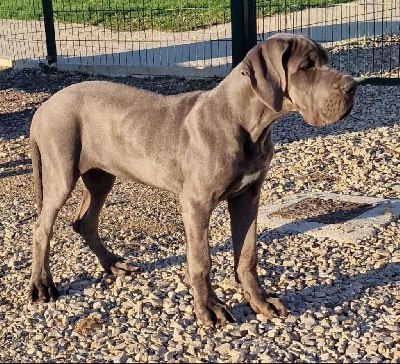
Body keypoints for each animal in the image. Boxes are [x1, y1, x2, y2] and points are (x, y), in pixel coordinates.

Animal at [30, 33, 356, 324]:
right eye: (306, 67)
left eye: (326, 61)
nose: (353, 86)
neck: (246, 124)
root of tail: (44, 107)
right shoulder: (196, 204)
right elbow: (202, 261)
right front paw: (209, 309)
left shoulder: (248, 196)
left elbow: (248, 255)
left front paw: (260, 302)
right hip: (61, 171)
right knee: (41, 228)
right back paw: (42, 285)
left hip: (101, 176)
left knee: (84, 221)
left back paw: (113, 264)